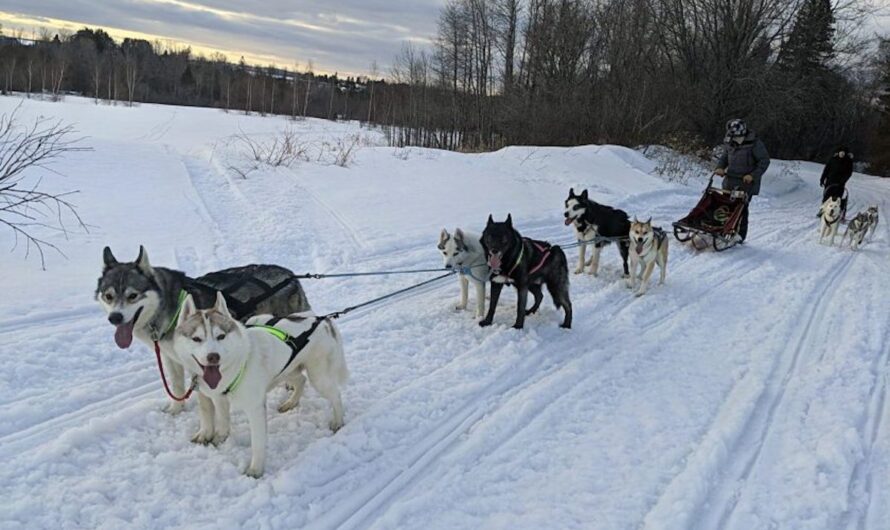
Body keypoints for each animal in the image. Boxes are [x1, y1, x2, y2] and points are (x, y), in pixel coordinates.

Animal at [96, 245, 310, 414]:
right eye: (108, 296)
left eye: (132, 295)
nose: (115, 317)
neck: (169, 305)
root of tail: (290, 275)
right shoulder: (171, 358)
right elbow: (177, 385)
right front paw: (176, 409)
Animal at [172, 290, 346, 476]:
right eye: (196, 339)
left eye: (221, 336)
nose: (213, 356)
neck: (237, 365)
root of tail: (324, 321)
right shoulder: (218, 398)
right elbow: (223, 420)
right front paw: (220, 437)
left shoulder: (254, 408)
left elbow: (257, 443)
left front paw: (255, 469)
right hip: (286, 371)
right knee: (301, 380)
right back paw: (290, 403)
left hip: (318, 377)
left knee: (335, 395)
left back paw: (338, 421)